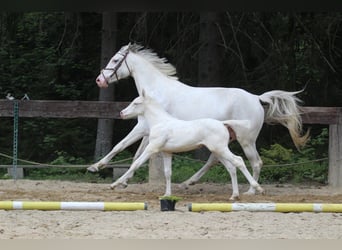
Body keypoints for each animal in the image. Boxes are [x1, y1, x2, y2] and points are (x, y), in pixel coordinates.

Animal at [111, 91, 264, 200]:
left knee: (239, 161)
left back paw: (256, 188)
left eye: (136, 103)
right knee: (231, 167)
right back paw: (234, 195)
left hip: (221, 149)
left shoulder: (152, 148)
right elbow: (168, 173)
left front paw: (115, 184)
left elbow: (135, 164)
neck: (160, 122)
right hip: (219, 151)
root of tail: (222, 124)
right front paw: (167, 195)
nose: (122, 113)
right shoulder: (166, 152)